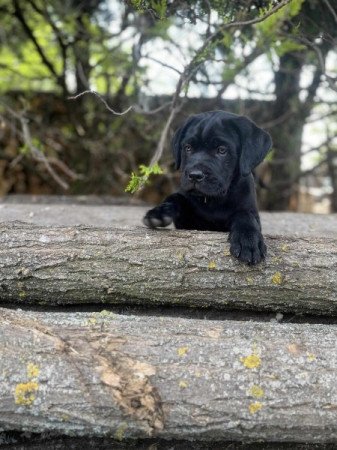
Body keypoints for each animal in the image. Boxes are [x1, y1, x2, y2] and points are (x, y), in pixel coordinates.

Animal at [142, 110, 270, 264]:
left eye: (222, 150)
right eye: (188, 148)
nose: (194, 175)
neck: (213, 201)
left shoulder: (249, 210)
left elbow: (245, 215)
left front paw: (248, 240)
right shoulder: (187, 221)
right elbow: (176, 197)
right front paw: (159, 212)